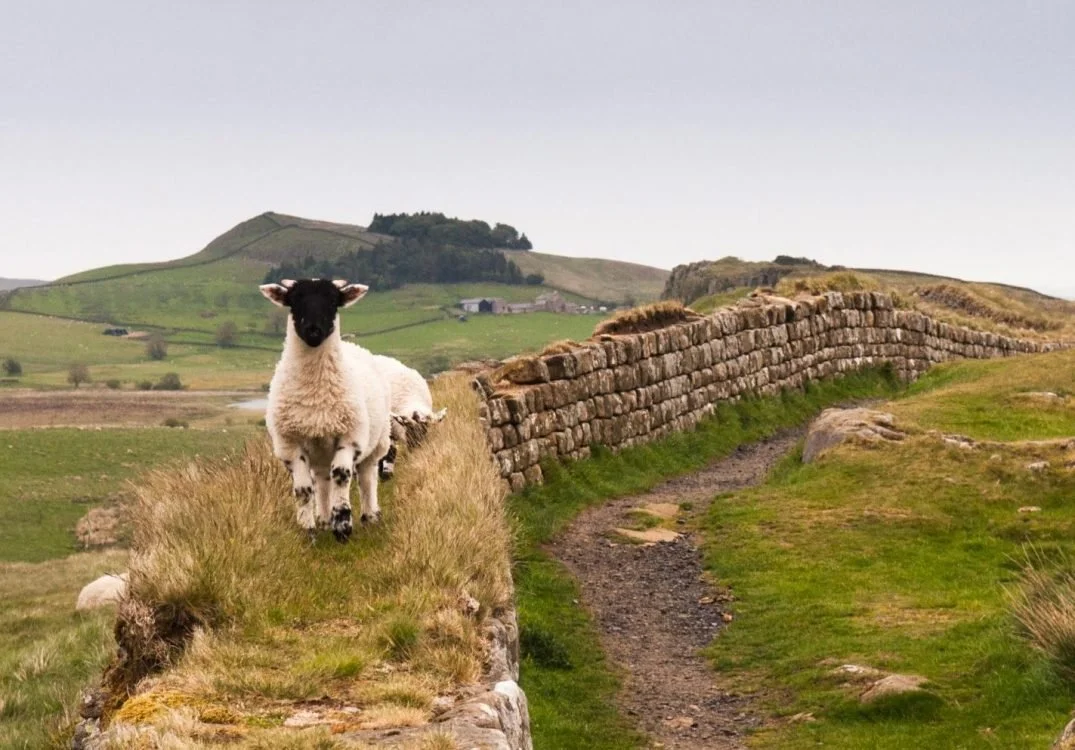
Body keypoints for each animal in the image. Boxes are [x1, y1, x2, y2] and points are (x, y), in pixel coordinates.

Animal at [258, 278, 393, 542]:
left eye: (333, 301)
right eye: (295, 300)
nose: (313, 331)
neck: (315, 394)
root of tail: (353, 345)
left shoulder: (350, 437)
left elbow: (342, 475)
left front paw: (343, 526)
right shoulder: (290, 444)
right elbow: (303, 490)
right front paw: (308, 531)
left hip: (376, 442)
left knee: (366, 477)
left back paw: (369, 516)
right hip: (319, 451)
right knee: (322, 481)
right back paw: (322, 518)